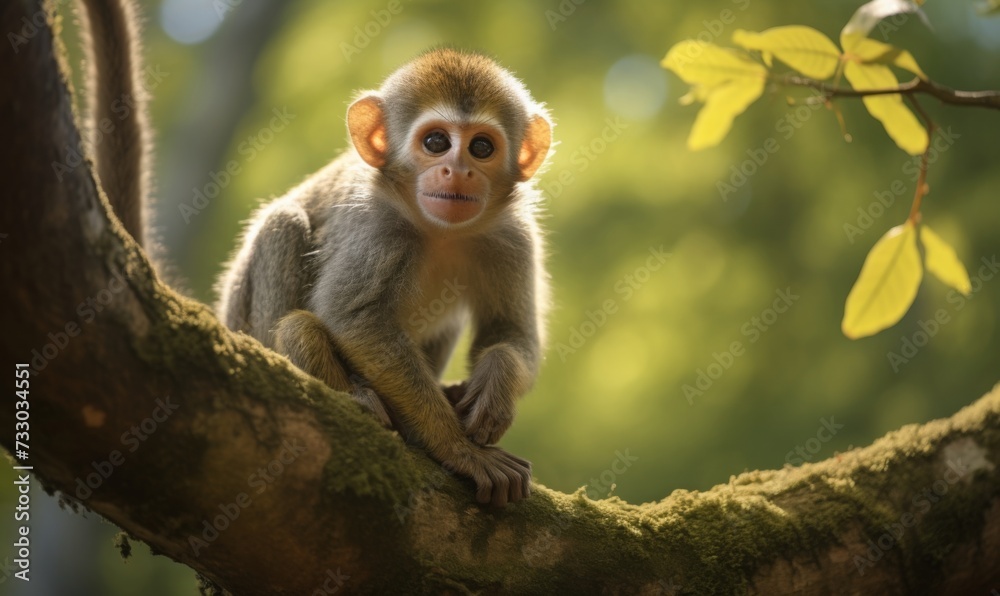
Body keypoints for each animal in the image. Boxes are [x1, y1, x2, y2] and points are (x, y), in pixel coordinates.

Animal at [215, 49, 552, 506]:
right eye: (436, 143)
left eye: (481, 147)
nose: (458, 171)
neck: (439, 232)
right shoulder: (377, 227)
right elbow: (354, 320)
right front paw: (458, 449)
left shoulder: (512, 236)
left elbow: (511, 331)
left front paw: (495, 384)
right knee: (284, 232)